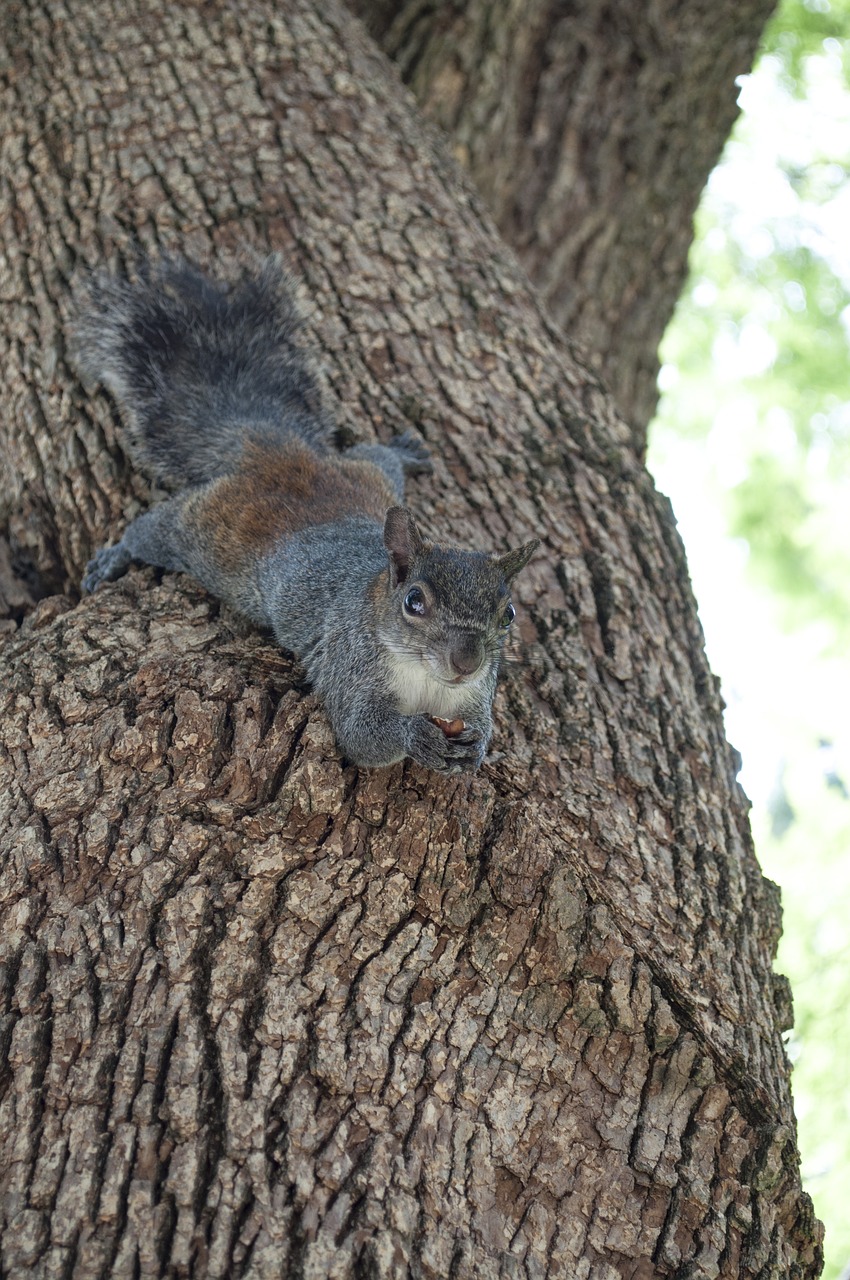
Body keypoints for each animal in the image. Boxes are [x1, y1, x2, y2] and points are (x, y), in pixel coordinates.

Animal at [72, 250, 537, 768]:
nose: (466, 662)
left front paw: (480, 744)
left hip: (368, 473)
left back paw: (405, 451)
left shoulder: (474, 695)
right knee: (152, 530)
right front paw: (417, 735)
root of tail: (277, 450)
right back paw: (116, 555)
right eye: (414, 602)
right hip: (201, 532)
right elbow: (364, 735)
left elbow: (477, 722)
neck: (427, 680)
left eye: (508, 614)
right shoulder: (349, 666)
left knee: (380, 457)